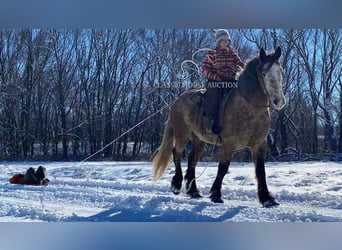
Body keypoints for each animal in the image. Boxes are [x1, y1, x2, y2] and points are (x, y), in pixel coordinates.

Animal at [152, 46, 286, 207]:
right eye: (264, 73)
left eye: (281, 72)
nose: (279, 101)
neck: (248, 106)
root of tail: (177, 101)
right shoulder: (229, 143)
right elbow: (223, 168)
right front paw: (216, 194)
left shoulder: (259, 144)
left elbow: (261, 171)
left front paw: (267, 198)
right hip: (182, 134)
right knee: (176, 153)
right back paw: (176, 185)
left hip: (198, 139)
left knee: (192, 160)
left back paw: (193, 191)